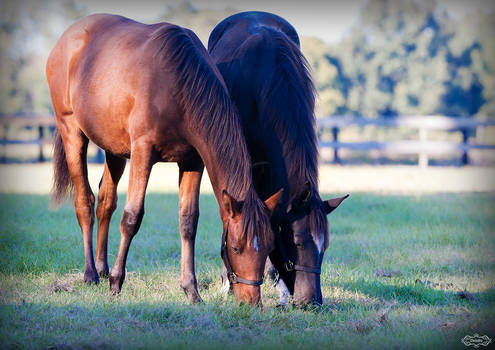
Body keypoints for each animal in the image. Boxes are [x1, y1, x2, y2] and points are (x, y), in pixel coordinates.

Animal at [48, 13, 284, 304]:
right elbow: (132, 218)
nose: (250, 302)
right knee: (85, 202)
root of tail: (67, 38)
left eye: (269, 246)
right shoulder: (142, 153)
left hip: (114, 150)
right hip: (73, 134)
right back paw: (91, 274)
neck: (178, 84)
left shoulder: (193, 162)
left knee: (105, 202)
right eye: (236, 248)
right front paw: (116, 283)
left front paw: (191, 290)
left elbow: (188, 222)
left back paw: (102, 269)